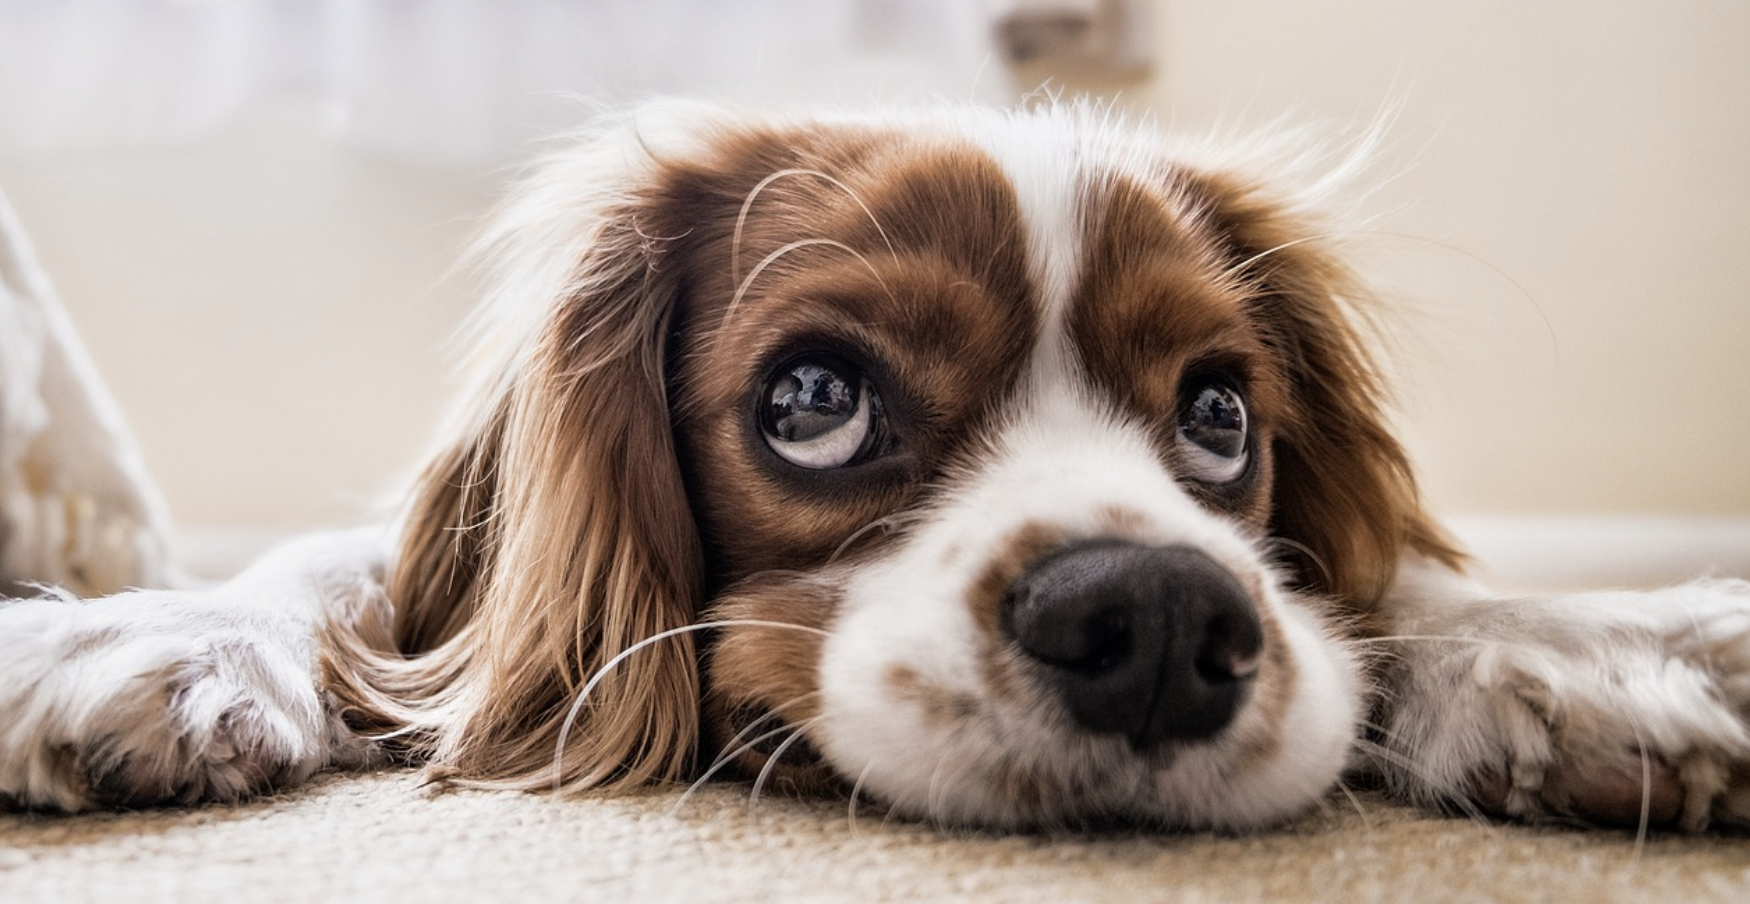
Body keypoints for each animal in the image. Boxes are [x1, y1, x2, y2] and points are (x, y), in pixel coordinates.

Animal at [3, 102, 1750, 828]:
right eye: (814, 399)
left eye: (1218, 418)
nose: (1158, 621)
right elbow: (350, 576)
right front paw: (146, 634)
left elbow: (1394, 590)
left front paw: (1593, 647)